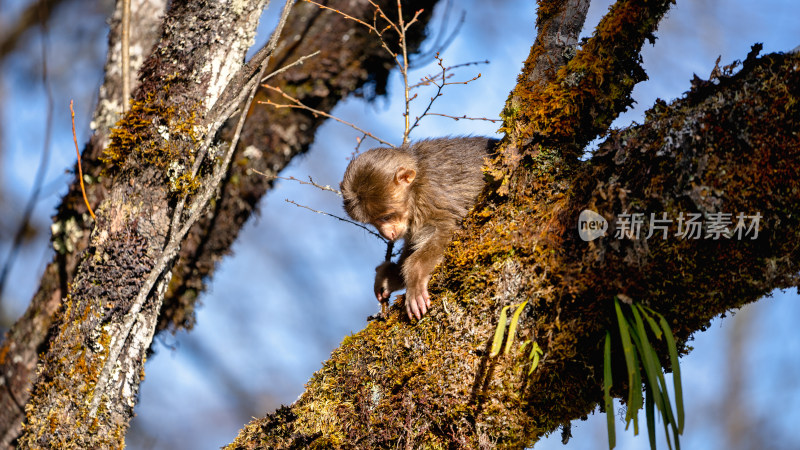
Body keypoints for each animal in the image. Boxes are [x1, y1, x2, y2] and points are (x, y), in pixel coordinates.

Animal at [340, 136, 496, 320]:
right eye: (374, 222)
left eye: (386, 217)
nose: (387, 233)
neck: (415, 187)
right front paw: (391, 276)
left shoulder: (432, 195)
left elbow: (448, 227)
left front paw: (415, 274)